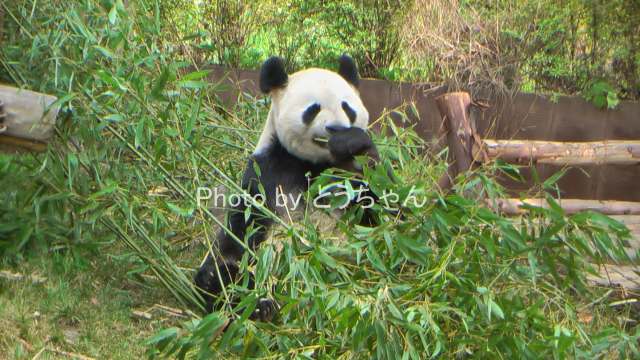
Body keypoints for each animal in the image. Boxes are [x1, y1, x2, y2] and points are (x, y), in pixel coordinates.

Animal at [195, 55, 380, 320]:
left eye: (347, 107)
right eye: (313, 109)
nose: (336, 129)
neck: (314, 164)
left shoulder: (348, 178)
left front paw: (351, 142)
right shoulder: (268, 170)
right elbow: (245, 225)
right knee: (228, 275)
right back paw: (253, 302)